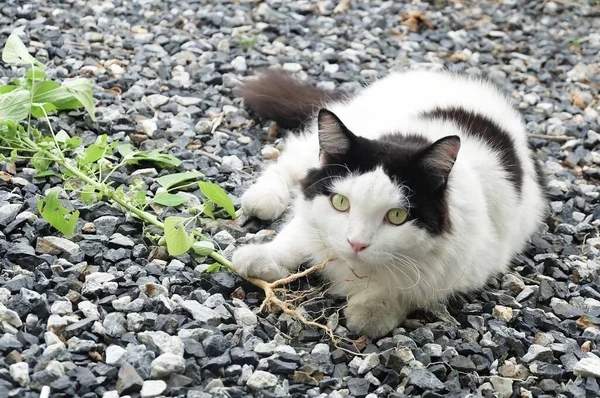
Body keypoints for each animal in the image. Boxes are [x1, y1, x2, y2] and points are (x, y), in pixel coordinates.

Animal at [231, 69, 548, 338]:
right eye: (341, 202)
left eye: (396, 216)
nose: (356, 243)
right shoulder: (311, 216)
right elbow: (293, 239)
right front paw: (258, 258)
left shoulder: (468, 264)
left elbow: (407, 289)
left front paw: (371, 312)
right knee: (287, 165)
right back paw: (261, 200)